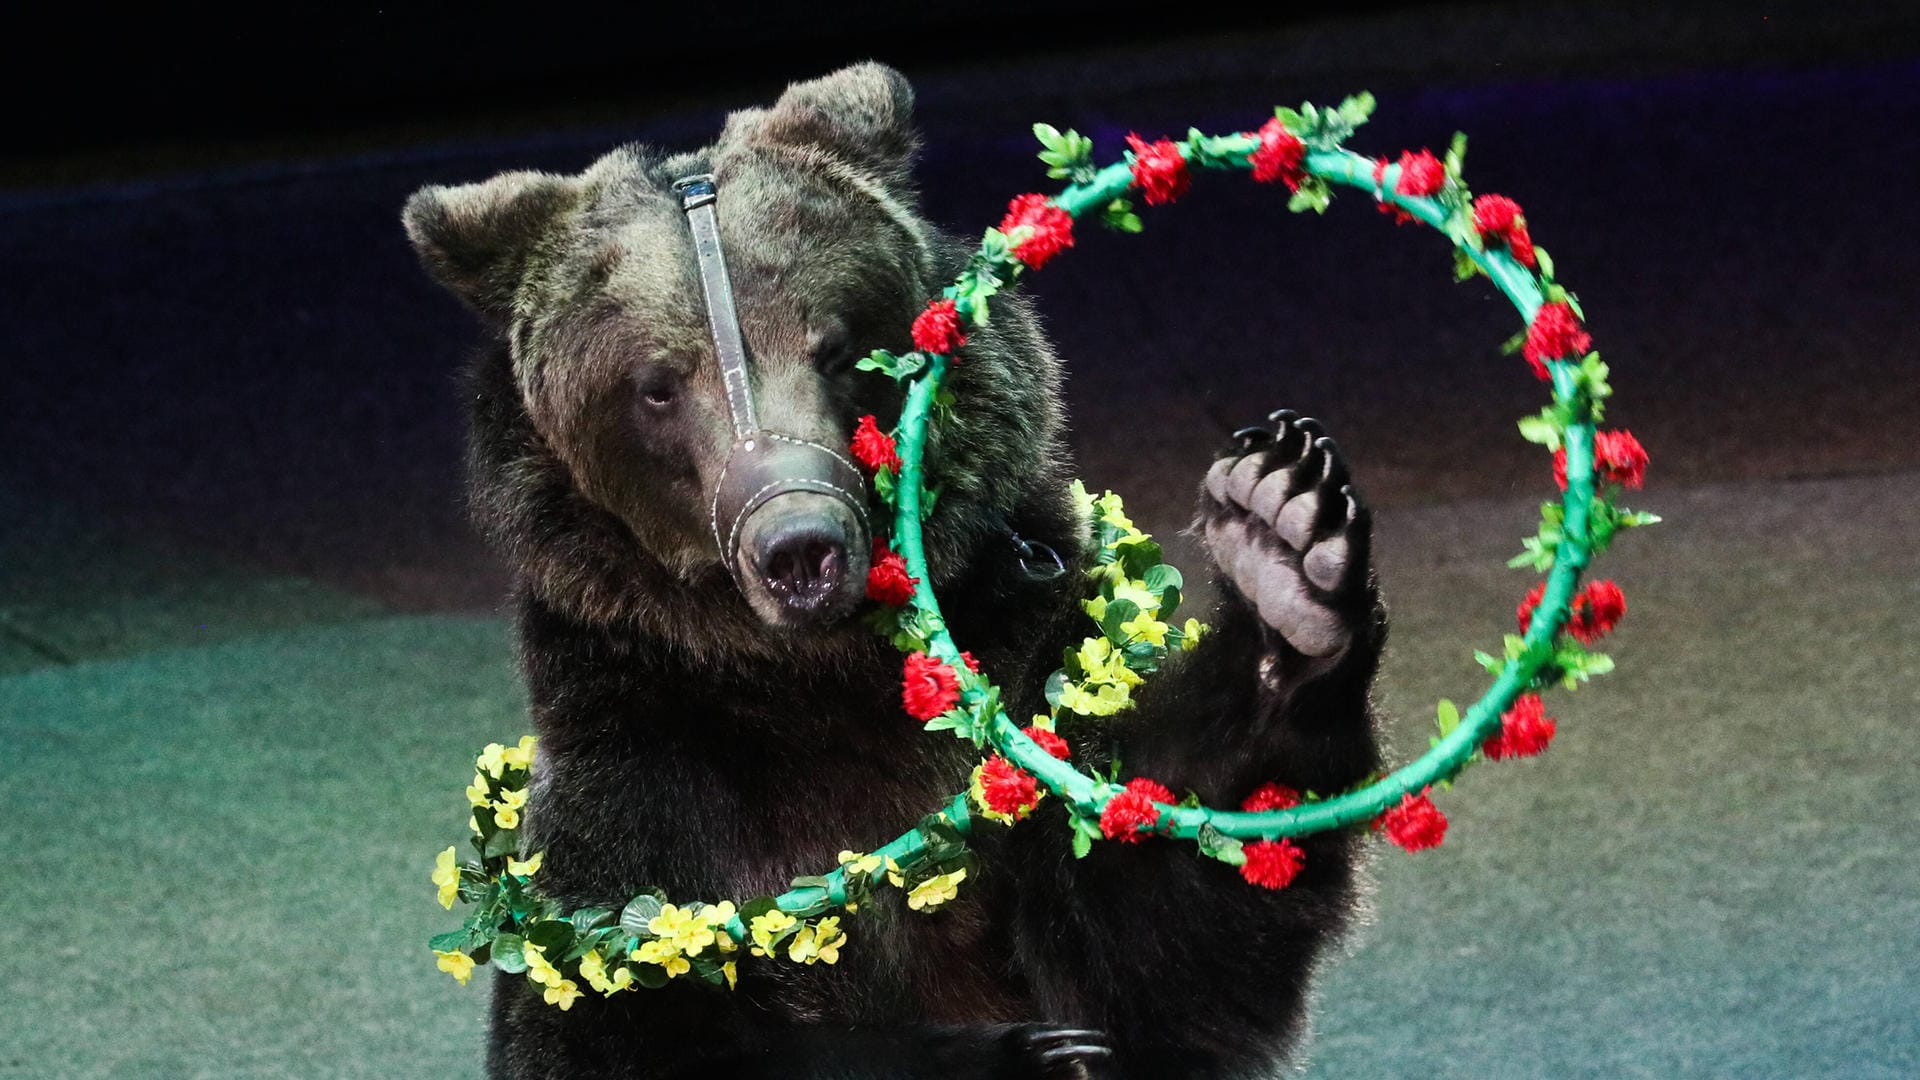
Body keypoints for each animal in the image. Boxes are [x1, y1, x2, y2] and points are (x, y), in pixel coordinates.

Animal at [405, 61, 1390, 1076]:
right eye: (657, 385)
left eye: (835, 345)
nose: (800, 543)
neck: (820, 676)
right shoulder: (639, 770)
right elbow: (611, 1023)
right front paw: (1020, 1052)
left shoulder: (1028, 663)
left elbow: (1158, 923)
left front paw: (1285, 543)